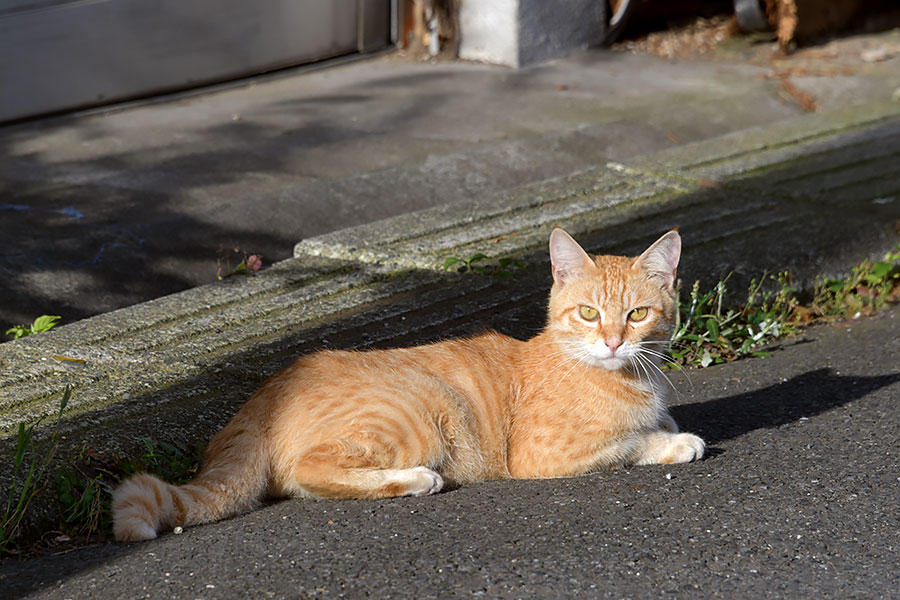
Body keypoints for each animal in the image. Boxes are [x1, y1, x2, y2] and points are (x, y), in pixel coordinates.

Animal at [110, 227, 704, 540]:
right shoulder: (544, 455)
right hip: (422, 412)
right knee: (311, 469)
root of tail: (261, 397)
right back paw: (416, 479)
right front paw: (675, 442)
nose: (613, 342)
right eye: (587, 313)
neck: (626, 377)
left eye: (637, 314)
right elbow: (631, 443)